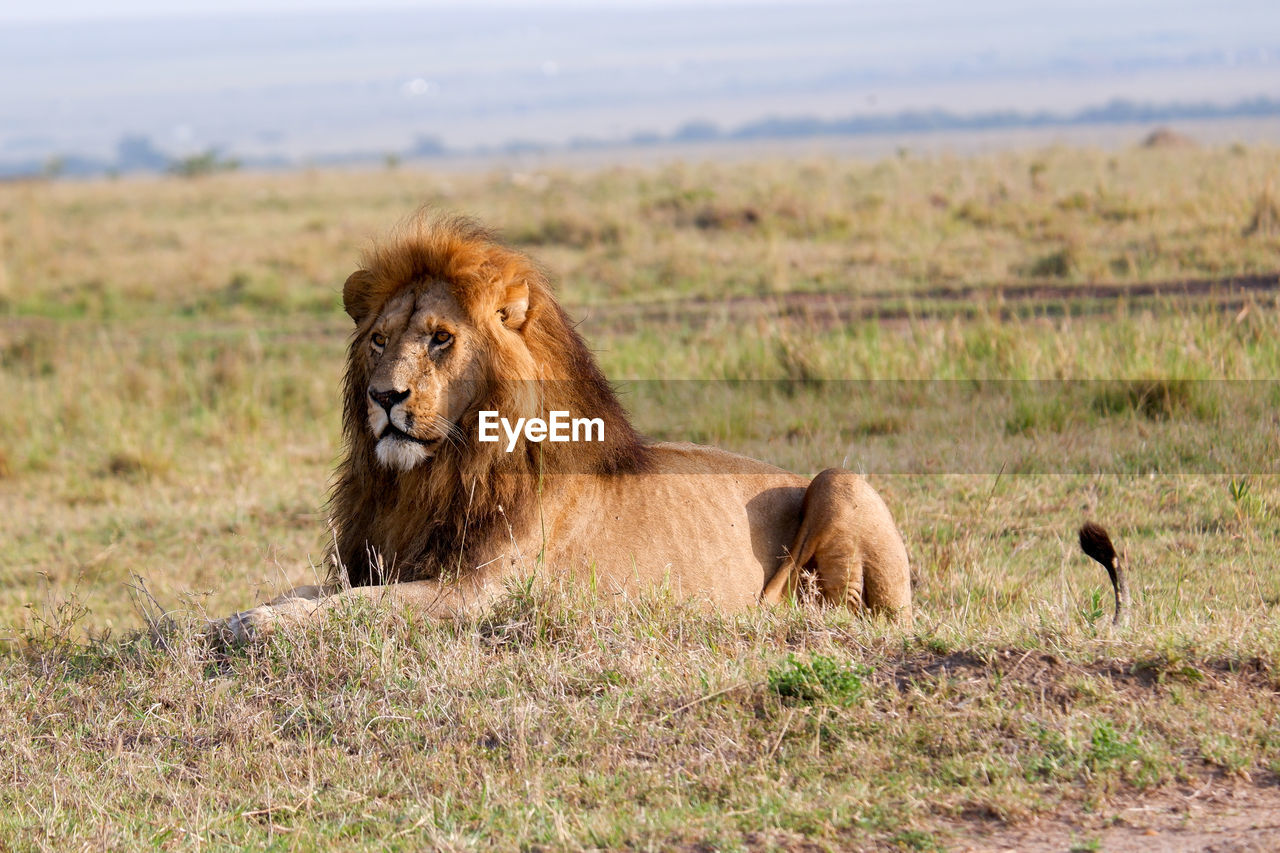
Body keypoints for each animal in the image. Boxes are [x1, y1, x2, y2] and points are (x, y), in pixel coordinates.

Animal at [220, 212, 916, 637]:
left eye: (441, 338)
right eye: (379, 340)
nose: (384, 396)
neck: (430, 478)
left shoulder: (483, 591)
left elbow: (360, 607)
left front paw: (255, 626)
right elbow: (310, 591)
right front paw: (237, 615)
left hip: (842, 481)